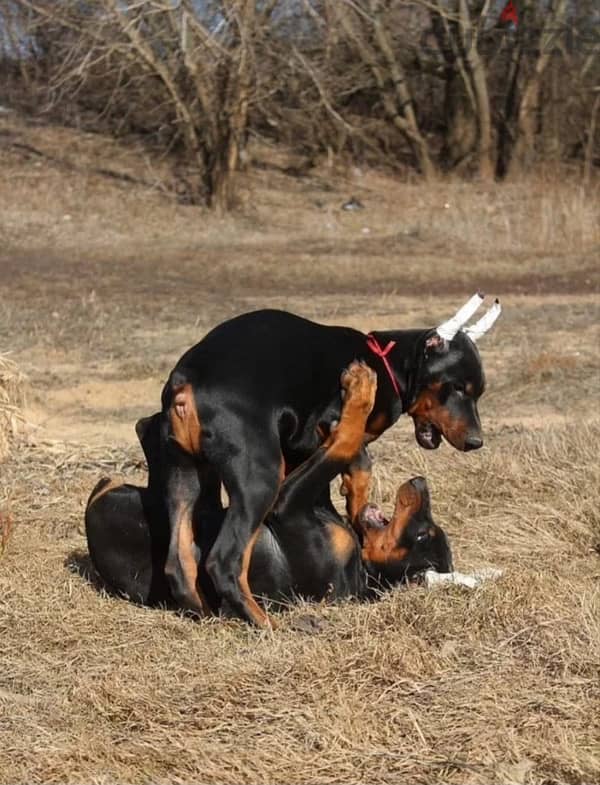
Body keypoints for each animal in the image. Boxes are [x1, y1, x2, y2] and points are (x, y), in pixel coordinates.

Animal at [84, 362, 450, 612]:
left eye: (422, 535)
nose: (420, 482)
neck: (365, 572)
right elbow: (338, 448)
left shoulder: (288, 506)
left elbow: (342, 443)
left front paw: (360, 389)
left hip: (171, 495)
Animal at [157, 290, 500, 620]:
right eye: (457, 387)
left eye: (478, 392)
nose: (476, 442)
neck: (386, 363)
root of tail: (187, 385)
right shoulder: (326, 427)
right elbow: (356, 455)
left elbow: (357, 463)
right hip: (259, 476)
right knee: (225, 561)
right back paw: (266, 622)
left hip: (182, 472)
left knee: (179, 566)